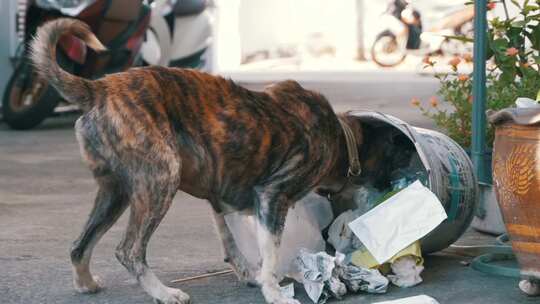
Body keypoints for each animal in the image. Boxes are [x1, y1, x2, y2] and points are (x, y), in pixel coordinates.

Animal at [31, 19, 364, 304]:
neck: (339, 136)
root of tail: (100, 88)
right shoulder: (272, 195)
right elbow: (270, 254)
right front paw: (273, 292)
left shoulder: (221, 198)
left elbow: (231, 245)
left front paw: (251, 276)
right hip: (161, 179)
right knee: (128, 251)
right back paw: (163, 293)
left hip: (116, 192)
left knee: (79, 245)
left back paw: (85, 283)